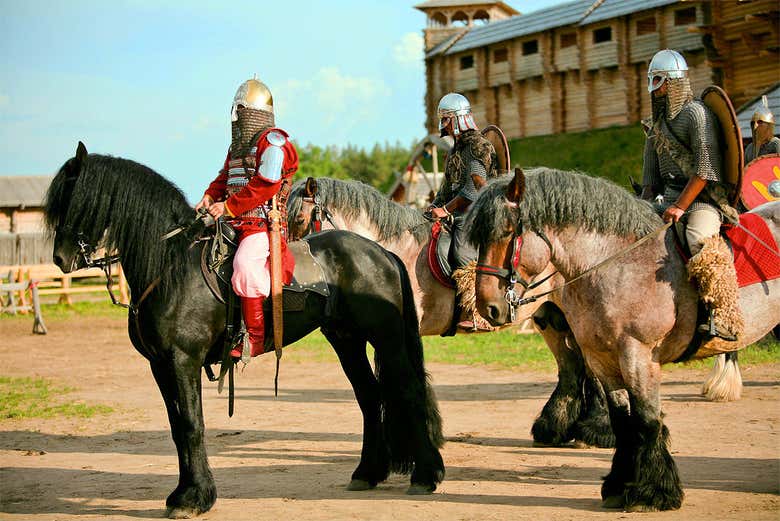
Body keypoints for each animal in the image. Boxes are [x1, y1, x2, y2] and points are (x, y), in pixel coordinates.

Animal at [43, 143, 445, 518]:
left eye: (78, 198)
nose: (60, 259)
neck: (170, 266)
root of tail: (381, 252)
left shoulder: (182, 361)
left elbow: (191, 425)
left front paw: (195, 498)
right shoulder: (161, 366)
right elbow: (176, 427)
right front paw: (183, 494)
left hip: (386, 338)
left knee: (408, 391)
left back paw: (426, 475)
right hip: (346, 340)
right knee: (370, 396)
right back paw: (367, 473)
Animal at [467, 167, 780, 511]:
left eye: (508, 232)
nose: (488, 307)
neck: (615, 264)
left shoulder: (637, 355)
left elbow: (646, 419)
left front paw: (653, 492)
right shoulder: (600, 357)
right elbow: (622, 419)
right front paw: (619, 482)